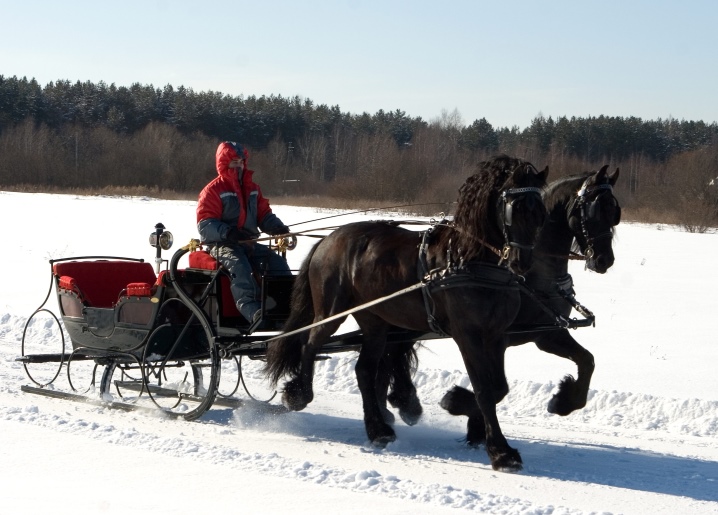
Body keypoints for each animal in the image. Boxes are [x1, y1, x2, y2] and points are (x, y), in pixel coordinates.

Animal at [268, 155, 548, 474]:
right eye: (514, 209)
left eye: (540, 212)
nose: (522, 262)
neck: (471, 260)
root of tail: (327, 240)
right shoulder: (468, 336)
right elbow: (485, 390)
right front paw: (501, 452)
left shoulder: (496, 336)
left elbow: (498, 387)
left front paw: (461, 409)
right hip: (332, 310)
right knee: (310, 344)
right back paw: (299, 394)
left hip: (374, 322)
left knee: (364, 370)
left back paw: (378, 430)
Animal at [404, 167, 624, 446]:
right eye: (594, 209)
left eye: (614, 212)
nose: (604, 260)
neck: (532, 277)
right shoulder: (499, 337)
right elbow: (496, 388)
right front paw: (457, 403)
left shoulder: (548, 333)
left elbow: (587, 360)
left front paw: (563, 401)